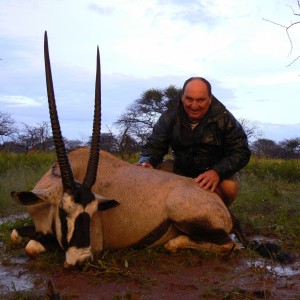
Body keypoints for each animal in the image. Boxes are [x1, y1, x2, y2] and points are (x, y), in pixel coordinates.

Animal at [9, 32, 290, 268]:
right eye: (64, 212)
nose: (82, 261)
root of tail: (218, 202)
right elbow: (14, 233)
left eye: (92, 213)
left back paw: (173, 243)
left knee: (230, 245)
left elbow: (32, 246)